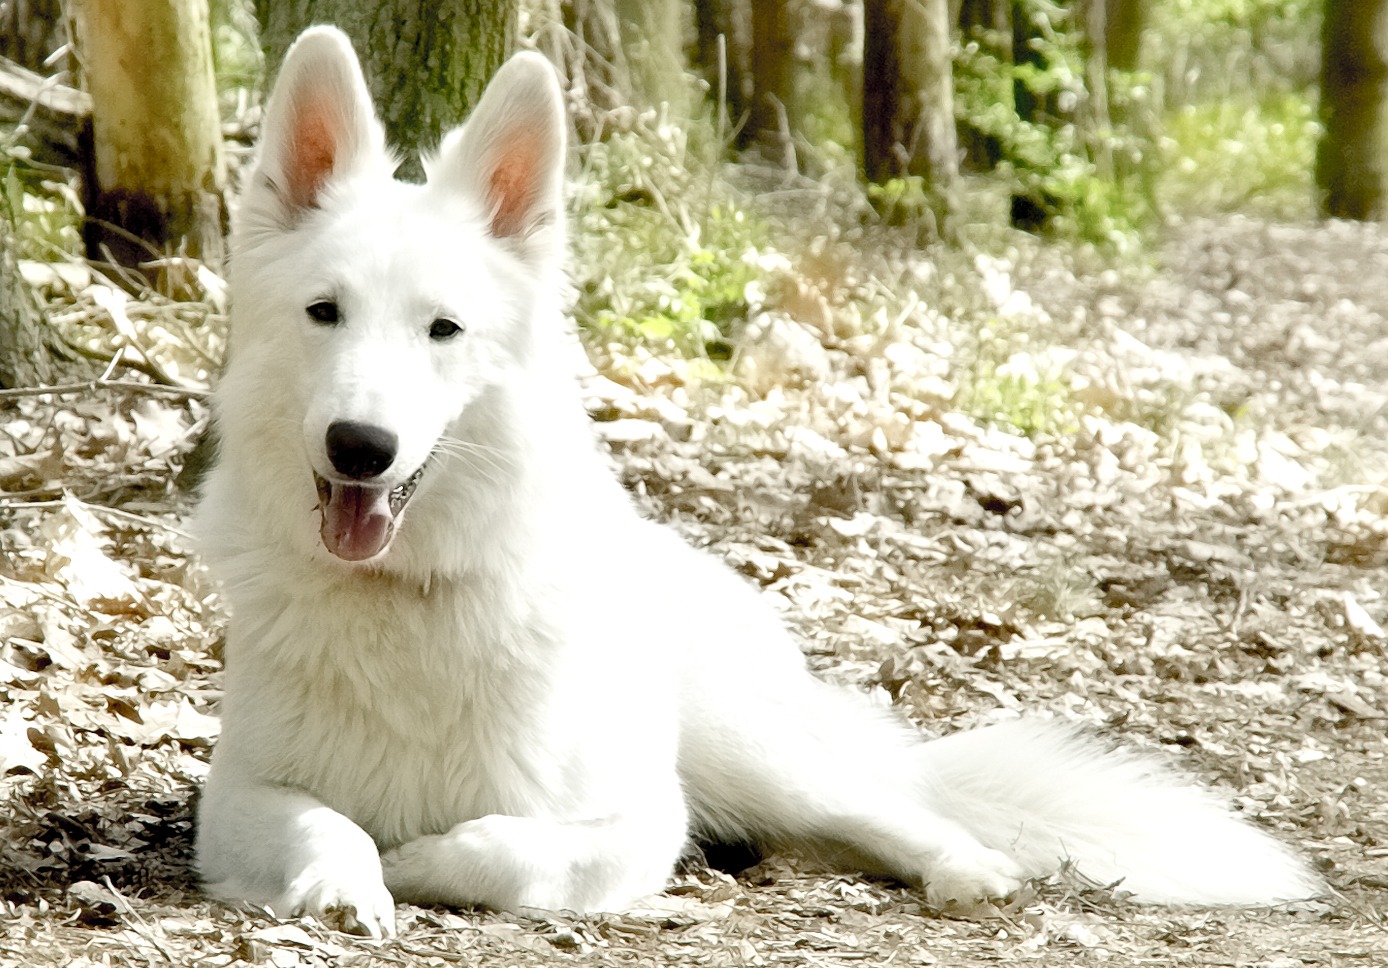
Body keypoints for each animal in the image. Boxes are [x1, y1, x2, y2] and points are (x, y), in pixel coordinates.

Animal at [195, 26, 1321, 938]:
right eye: (324, 312)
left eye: (443, 328)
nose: (360, 447)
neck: (406, 596)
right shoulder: (237, 792)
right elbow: (329, 822)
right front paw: (350, 877)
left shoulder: (632, 816)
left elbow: (499, 846)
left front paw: (419, 858)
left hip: (745, 747)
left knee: (888, 807)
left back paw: (969, 867)